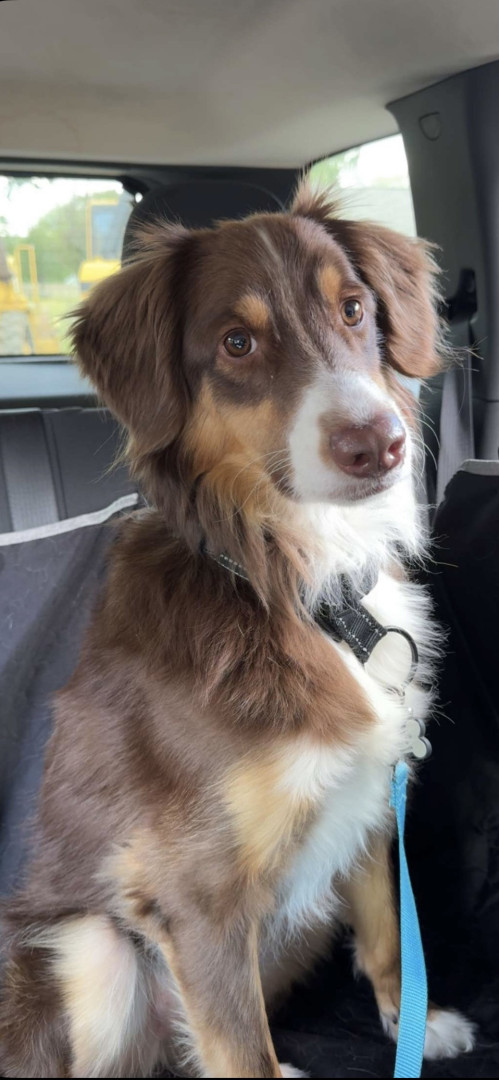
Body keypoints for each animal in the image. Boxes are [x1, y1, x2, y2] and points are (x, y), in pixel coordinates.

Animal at [0, 182, 476, 1078]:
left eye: (353, 308)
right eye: (237, 342)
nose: (380, 446)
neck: (301, 587)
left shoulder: (370, 803)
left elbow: (387, 932)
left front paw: (414, 1022)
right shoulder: (197, 896)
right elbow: (239, 1051)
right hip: (90, 947)